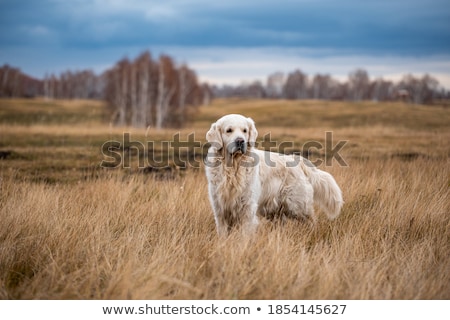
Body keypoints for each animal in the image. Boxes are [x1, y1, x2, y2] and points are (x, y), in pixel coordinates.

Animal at [206, 114, 342, 236]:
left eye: (245, 130)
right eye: (229, 130)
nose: (240, 141)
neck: (233, 168)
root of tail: (297, 160)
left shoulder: (247, 207)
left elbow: (244, 234)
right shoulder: (220, 209)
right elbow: (223, 234)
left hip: (297, 206)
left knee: (311, 220)